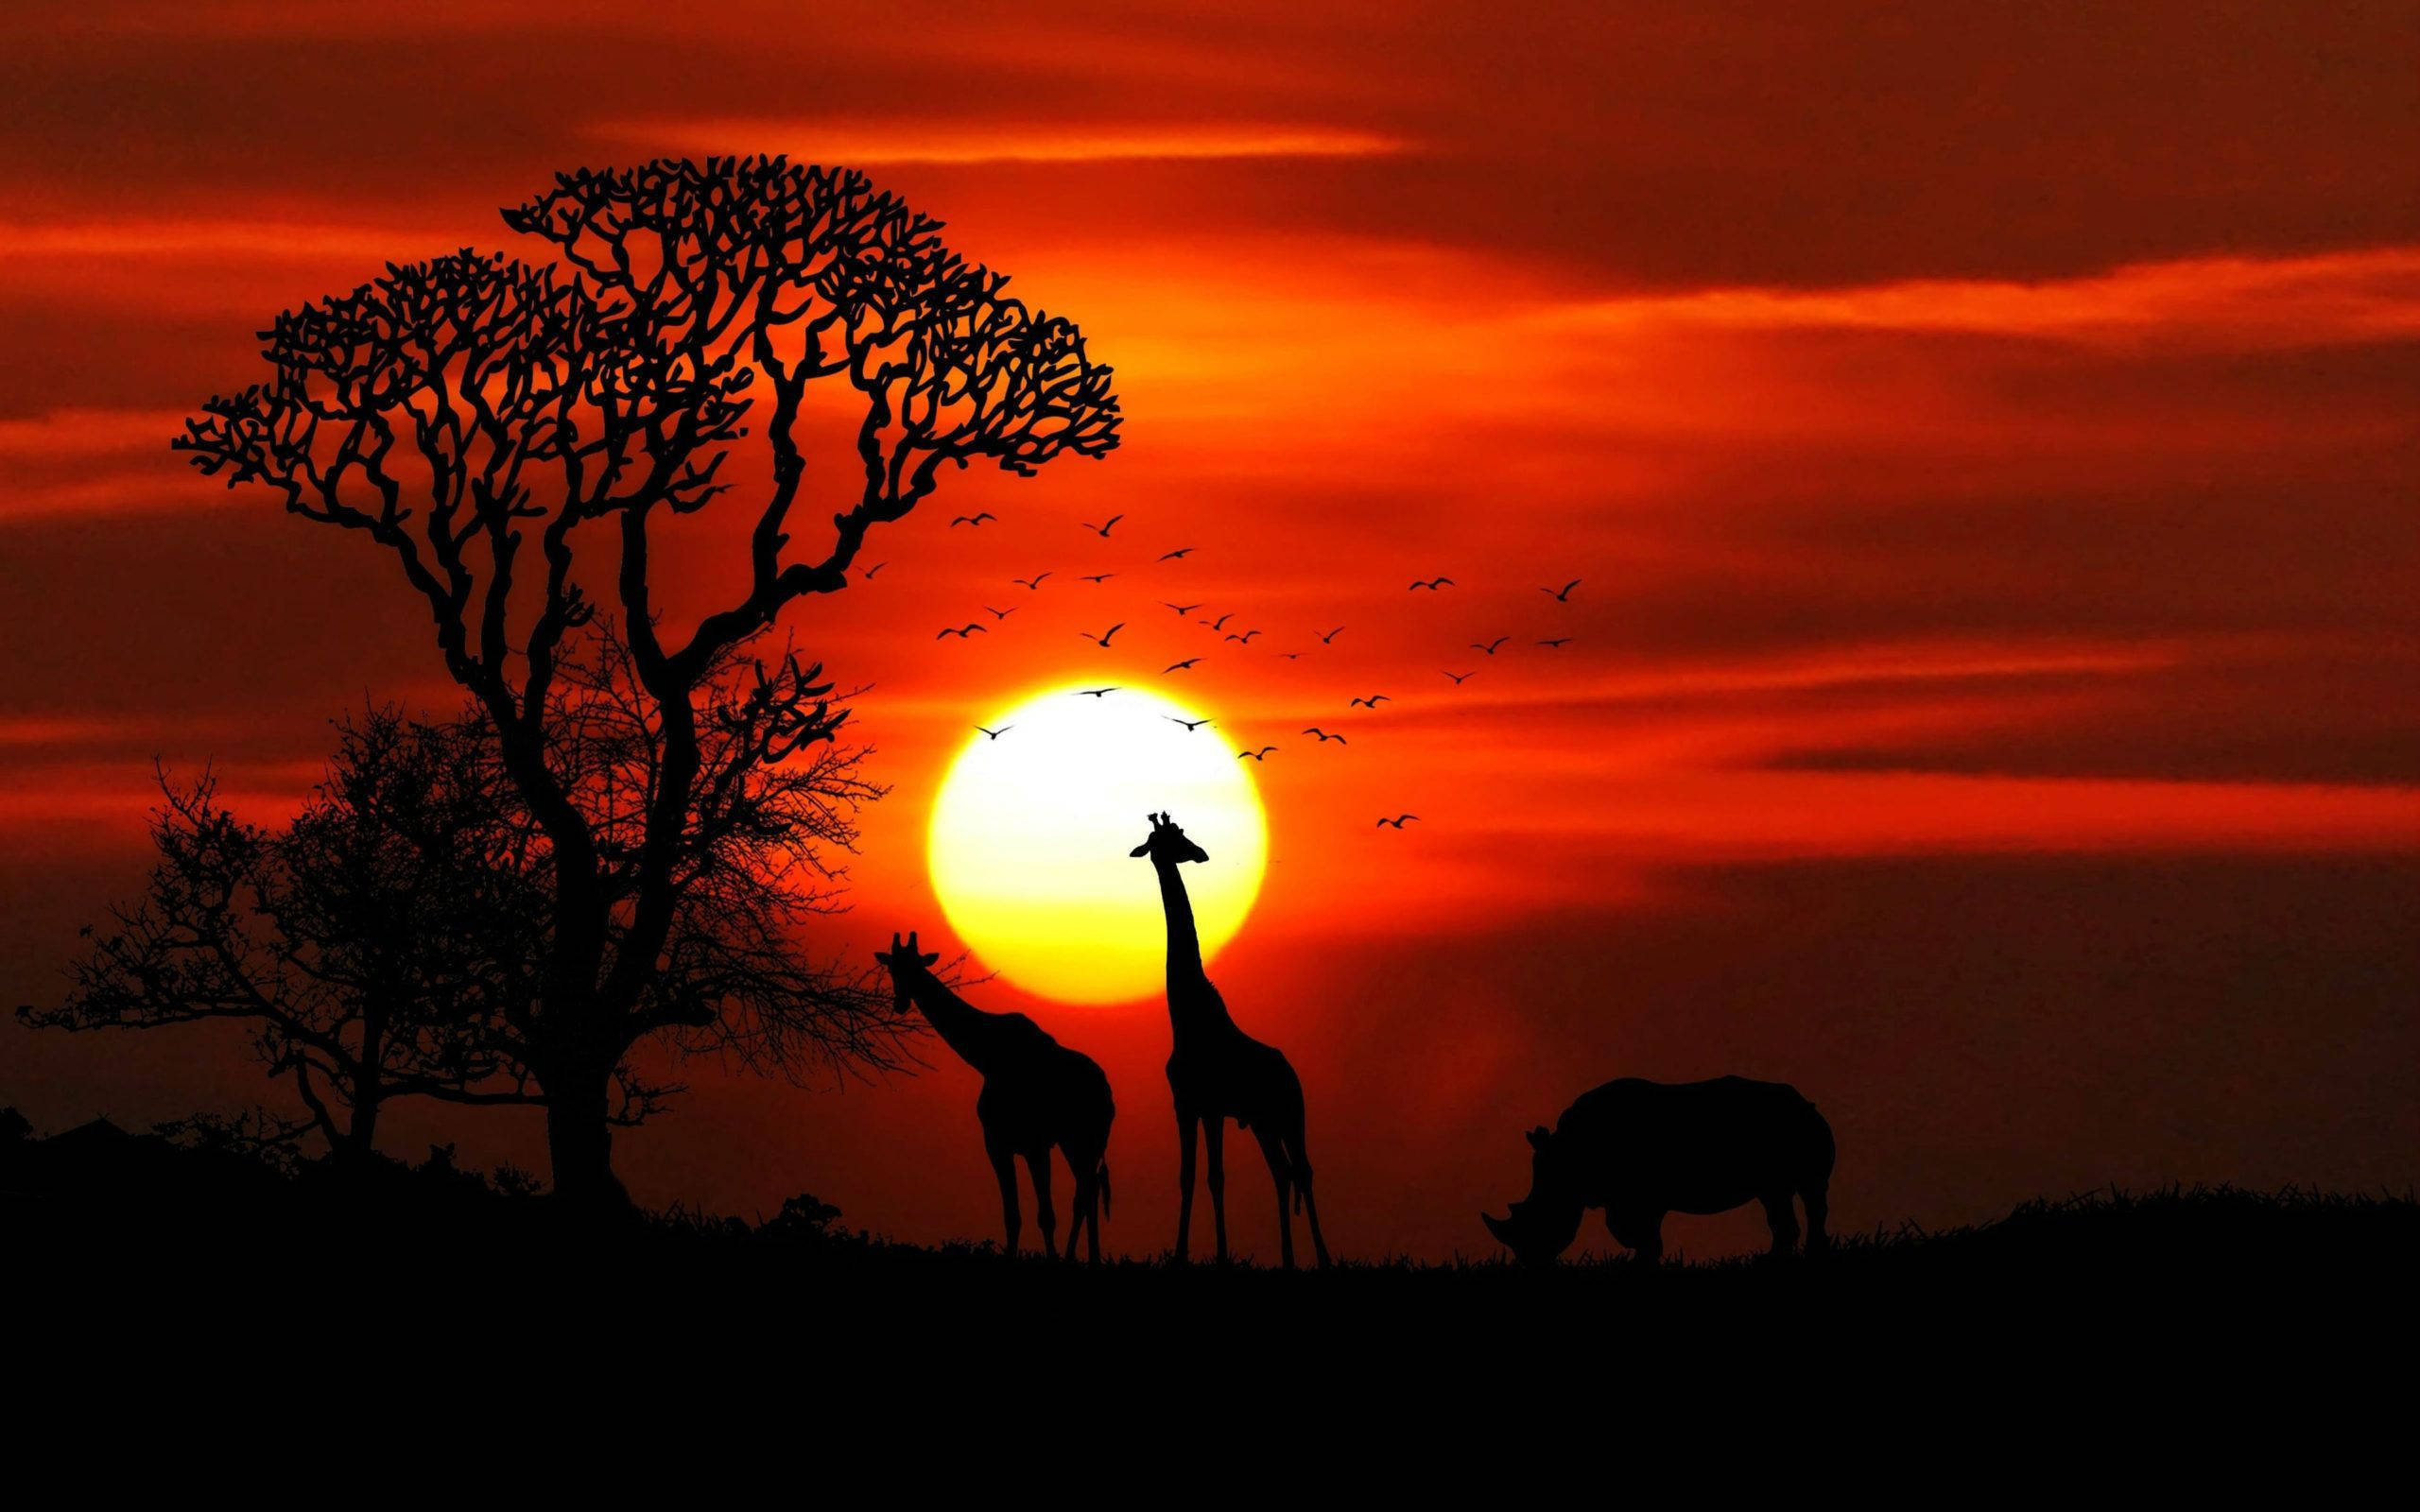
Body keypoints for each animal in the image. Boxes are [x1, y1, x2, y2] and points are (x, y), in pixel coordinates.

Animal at [875, 931, 1116, 1261]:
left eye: (917, 967)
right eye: (892, 968)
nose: (900, 1003)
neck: (987, 1058)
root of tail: (1107, 1093)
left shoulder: (1035, 1144)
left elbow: (1046, 1215)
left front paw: (1052, 1259)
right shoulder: (997, 1143)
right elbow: (1012, 1215)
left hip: (1084, 1140)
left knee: (1085, 1193)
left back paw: (1076, 1257)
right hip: (1076, 1143)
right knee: (1088, 1190)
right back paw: (1087, 1257)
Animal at [1129, 812, 1331, 1268]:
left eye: (1181, 834)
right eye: (1170, 839)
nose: (1200, 853)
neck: (1186, 1020)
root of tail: (1291, 1071)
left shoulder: (1213, 1108)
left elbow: (1215, 1177)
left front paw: (1221, 1255)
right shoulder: (1186, 1107)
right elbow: (1187, 1177)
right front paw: (1180, 1254)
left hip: (1290, 1114)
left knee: (1304, 1170)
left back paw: (1323, 1257)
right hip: (1262, 1121)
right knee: (1282, 1171)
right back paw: (1287, 1257)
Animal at [1482, 1076, 1834, 1265]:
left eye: (1539, 1218)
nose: (1530, 1262)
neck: (1565, 1163)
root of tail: (1806, 1102)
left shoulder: (1635, 1197)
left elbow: (1633, 1231)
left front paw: (1642, 1261)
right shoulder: (1631, 1197)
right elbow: (1639, 1231)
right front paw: (1645, 1259)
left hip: (1798, 1128)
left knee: (1804, 1194)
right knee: (1788, 1197)